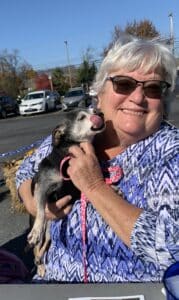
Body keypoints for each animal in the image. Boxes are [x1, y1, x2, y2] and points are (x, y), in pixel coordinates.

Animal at [27, 108, 105, 272]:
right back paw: (39, 264)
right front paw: (35, 231)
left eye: (94, 110)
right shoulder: (42, 186)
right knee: (36, 247)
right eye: (81, 117)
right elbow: (41, 210)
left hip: (49, 232)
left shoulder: (77, 188)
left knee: (43, 246)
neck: (68, 153)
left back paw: (40, 262)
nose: (100, 113)